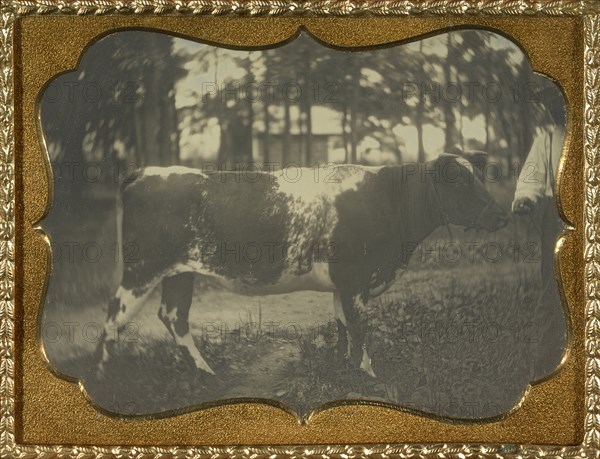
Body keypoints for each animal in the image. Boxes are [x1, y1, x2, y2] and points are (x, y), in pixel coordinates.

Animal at [96, 153, 508, 380]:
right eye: (458, 181)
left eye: (480, 176)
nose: (502, 214)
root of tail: (146, 172)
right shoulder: (356, 276)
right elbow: (360, 327)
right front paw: (369, 375)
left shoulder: (344, 282)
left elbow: (343, 327)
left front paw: (347, 371)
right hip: (143, 268)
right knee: (114, 318)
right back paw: (107, 379)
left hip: (181, 272)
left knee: (173, 317)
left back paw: (207, 374)